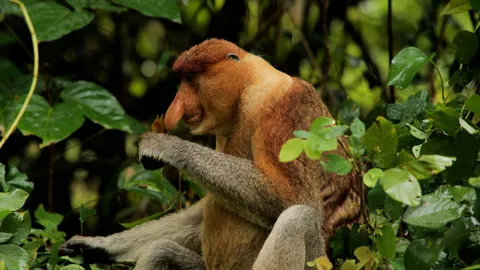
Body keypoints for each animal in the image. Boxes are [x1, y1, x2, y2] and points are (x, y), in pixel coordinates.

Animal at [59, 38, 360, 270]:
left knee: (297, 219)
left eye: (192, 81)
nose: (176, 106)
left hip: (318, 259)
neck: (248, 87)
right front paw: (97, 245)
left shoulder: (281, 106)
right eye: (181, 80)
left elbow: (294, 197)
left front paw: (165, 147)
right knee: (161, 250)